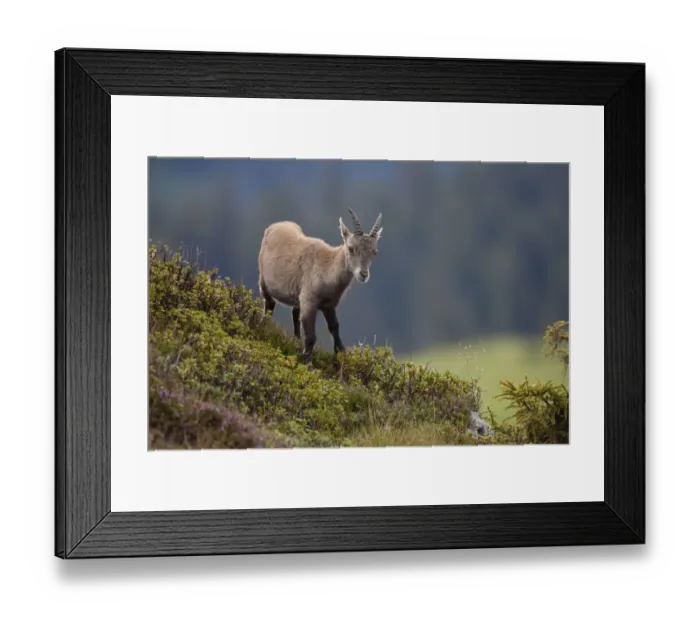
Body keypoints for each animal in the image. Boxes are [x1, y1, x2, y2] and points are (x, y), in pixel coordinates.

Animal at [258, 208, 383, 362]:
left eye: (374, 252)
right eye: (351, 248)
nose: (363, 274)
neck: (326, 268)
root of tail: (274, 226)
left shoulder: (329, 305)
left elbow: (334, 327)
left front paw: (341, 355)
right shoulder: (309, 301)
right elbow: (311, 336)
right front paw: (306, 361)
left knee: (295, 313)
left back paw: (296, 340)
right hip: (263, 282)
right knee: (270, 305)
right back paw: (264, 326)